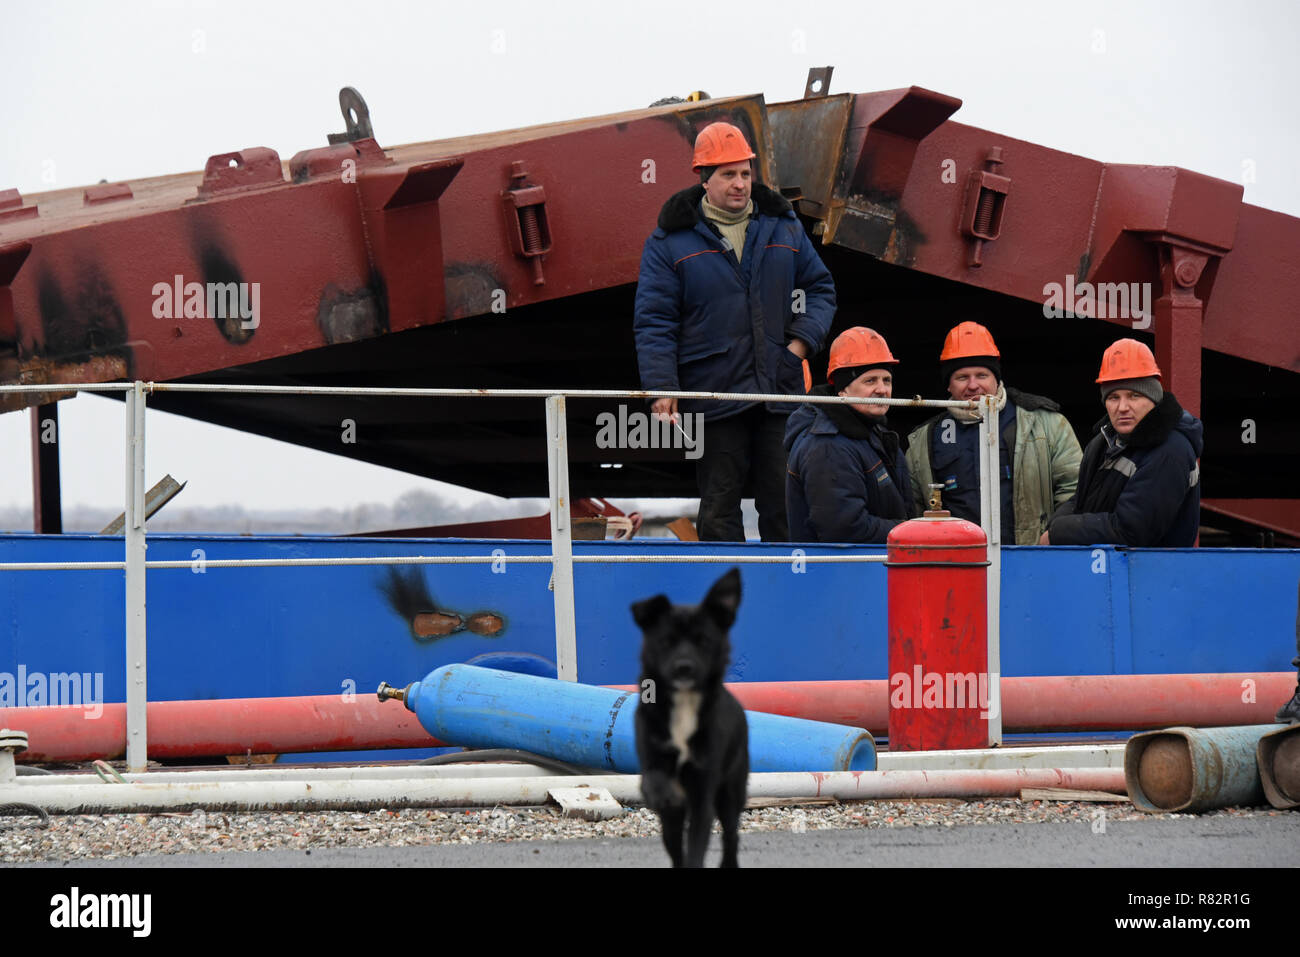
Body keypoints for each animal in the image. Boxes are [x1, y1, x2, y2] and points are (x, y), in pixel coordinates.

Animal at [631, 566, 748, 868]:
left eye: (704, 641)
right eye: (666, 642)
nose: (684, 668)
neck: (684, 704)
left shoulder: (703, 795)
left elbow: (696, 849)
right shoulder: (652, 759)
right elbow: (655, 780)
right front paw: (663, 791)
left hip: (731, 793)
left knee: (731, 835)